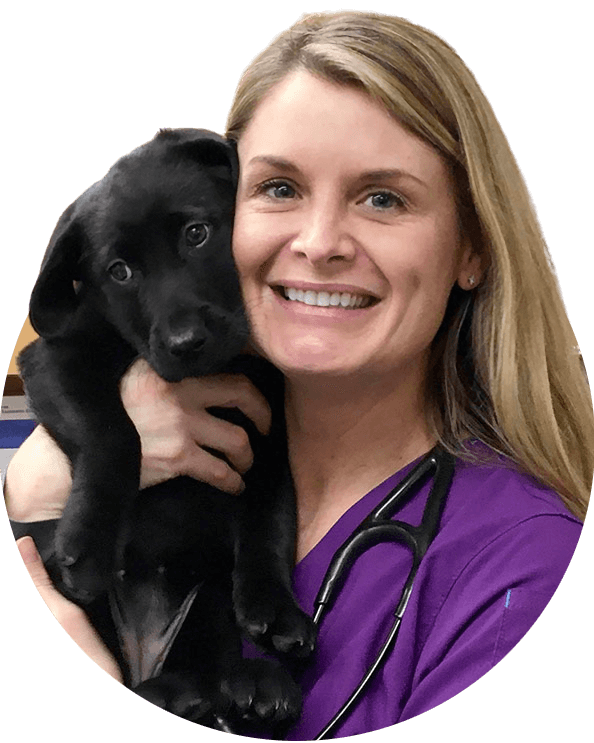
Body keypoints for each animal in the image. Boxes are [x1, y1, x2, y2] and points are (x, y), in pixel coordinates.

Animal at [17, 128, 314, 732]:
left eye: (197, 234)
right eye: (120, 272)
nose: (185, 343)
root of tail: (144, 651)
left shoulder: (271, 425)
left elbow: (271, 517)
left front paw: (276, 607)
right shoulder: (55, 358)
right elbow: (114, 434)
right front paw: (88, 542)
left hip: (206, 606)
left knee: (202, 668)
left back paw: (236, 687)